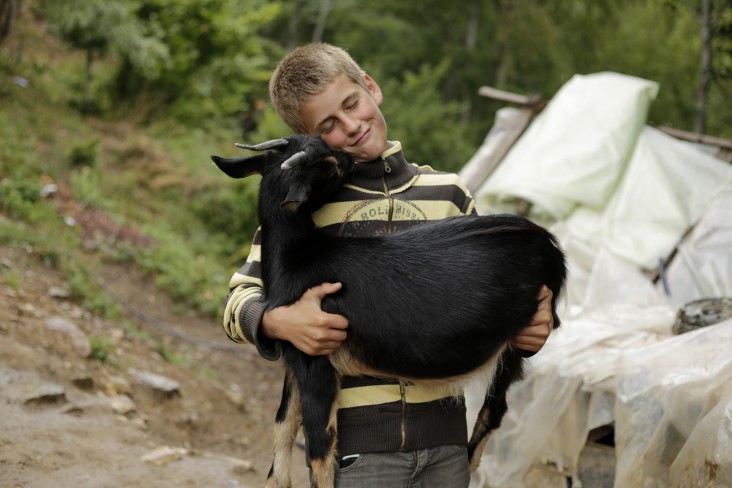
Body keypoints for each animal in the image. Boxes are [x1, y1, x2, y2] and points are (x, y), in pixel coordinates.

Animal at [212, 135, 568, 488]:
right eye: (327, 165)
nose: (349, 159)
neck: (297, 257)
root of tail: (547, 242)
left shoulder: (317, 361)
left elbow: (319, 448)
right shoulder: (297, 350)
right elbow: (283, 424)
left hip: (519, 337)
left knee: (495, 409)